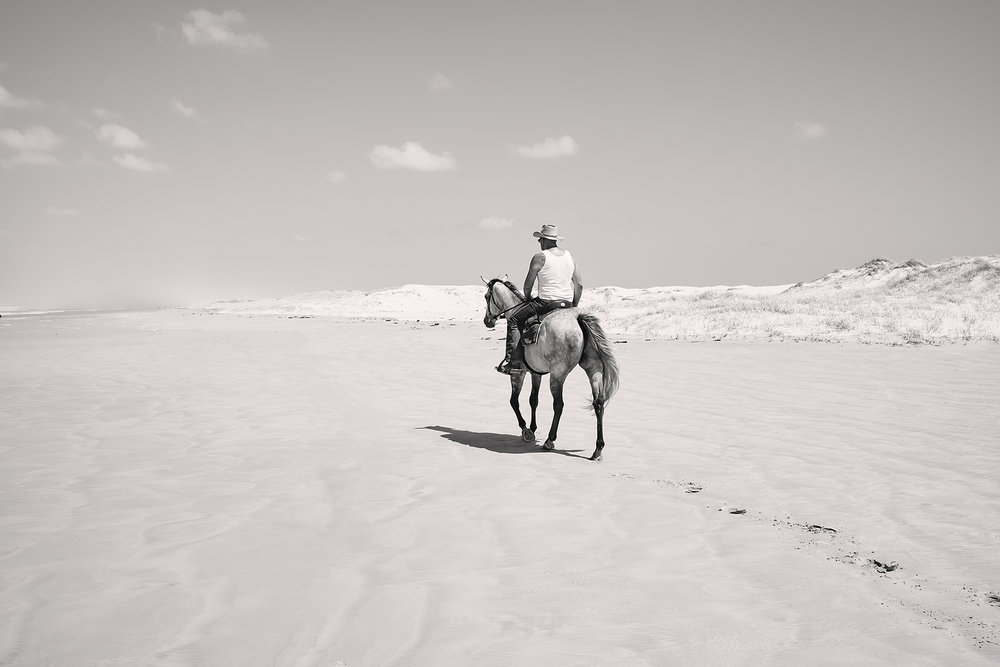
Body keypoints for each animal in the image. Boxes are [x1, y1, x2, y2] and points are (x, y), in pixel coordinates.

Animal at [482, 278, 620, 461]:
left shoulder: (518, 373)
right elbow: (533, 400)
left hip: (558, 374)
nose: (487, 321)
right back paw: (598, 448)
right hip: (593, 368)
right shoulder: (536, 373)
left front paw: (526, 430)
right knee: (598, 402)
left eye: (486, 296)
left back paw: (550, 440)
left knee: (559, 405)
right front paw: (533, 428)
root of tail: (578, 318)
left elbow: (514, 401)